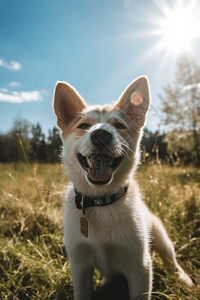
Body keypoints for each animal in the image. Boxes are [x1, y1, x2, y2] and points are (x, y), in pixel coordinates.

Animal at [52, 77, 192, 300]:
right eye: (83, 125)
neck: (101, 200)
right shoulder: (80, 265)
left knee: (172, 262)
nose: (101, 135)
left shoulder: (140, 268)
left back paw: (185, 280)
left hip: (161, 237)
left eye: (119, 125)